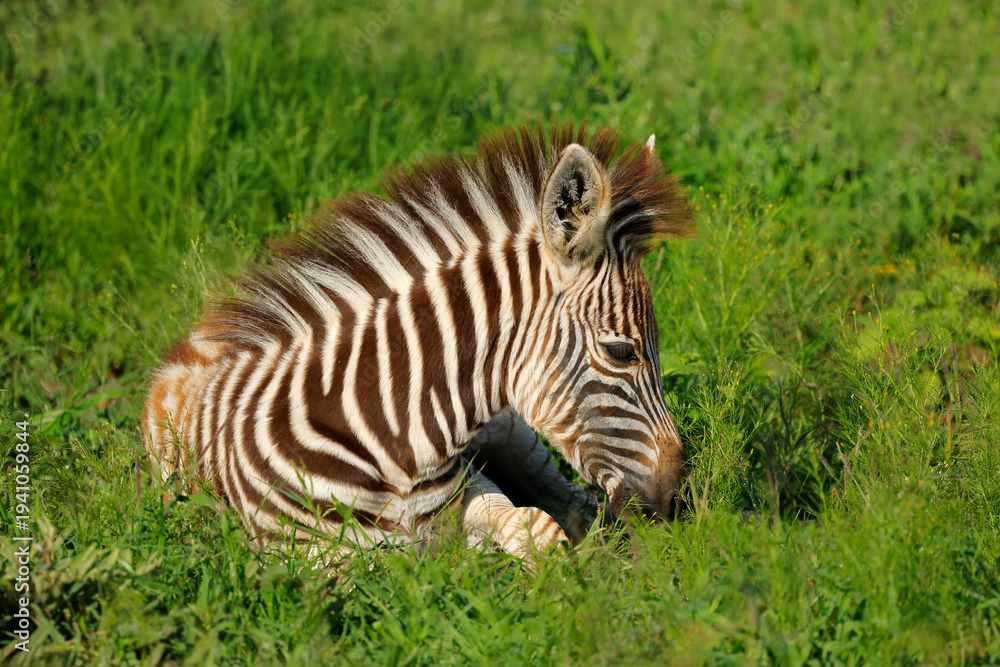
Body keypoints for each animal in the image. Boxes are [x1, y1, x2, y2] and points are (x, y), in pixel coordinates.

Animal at [143, 121, 693, 559]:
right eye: (621, 352)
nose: (675, 503)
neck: (393, 440)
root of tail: (195, 340)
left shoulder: (468, 493)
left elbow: (532, 524)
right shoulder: (316, 561)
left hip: (514, 436)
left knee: (576, 500)